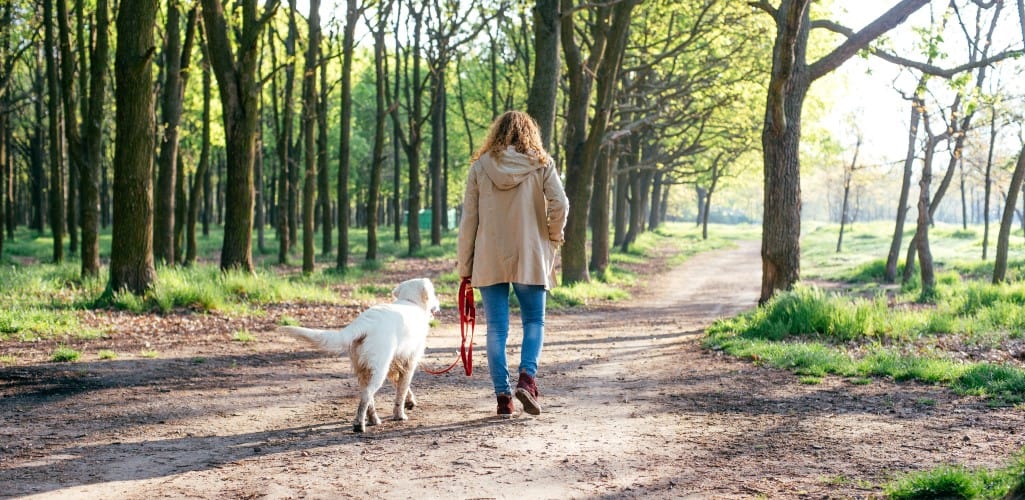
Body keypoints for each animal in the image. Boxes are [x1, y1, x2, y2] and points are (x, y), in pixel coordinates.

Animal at [280, 276, 440, 434]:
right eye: (433, 293)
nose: (438, 305)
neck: (410, 302)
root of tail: (364, 322)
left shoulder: (394, 364)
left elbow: (401, 386)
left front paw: (410, 401)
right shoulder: (409, 362)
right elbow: (402, 390)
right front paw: (400, 415)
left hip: (364, 368)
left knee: (366, 395)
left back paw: (373, 420)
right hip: (379, 369)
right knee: (367, 395)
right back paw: (359, 424)